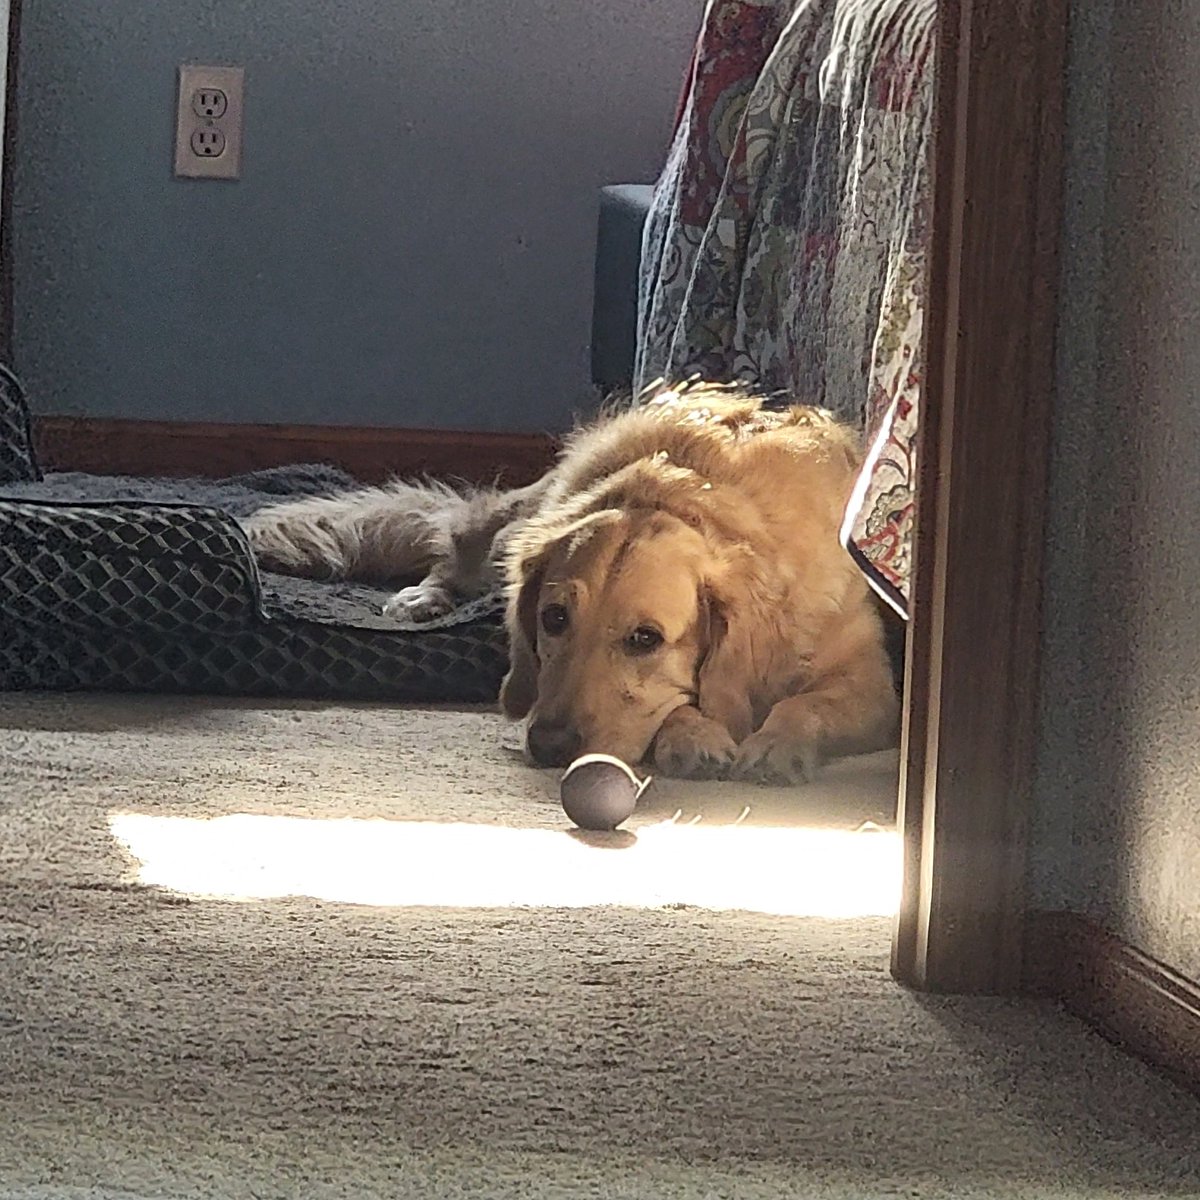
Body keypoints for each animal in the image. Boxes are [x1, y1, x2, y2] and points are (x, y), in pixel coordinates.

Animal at [246, 379, 902, 782]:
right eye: (554, 618)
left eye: (645, 639)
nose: (550, 746)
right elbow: (681, 705)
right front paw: (693, 733)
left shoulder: (875, 686)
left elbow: (804, 704)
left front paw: (773, 744)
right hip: (511, 525)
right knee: (456, 541)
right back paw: (423, 597)